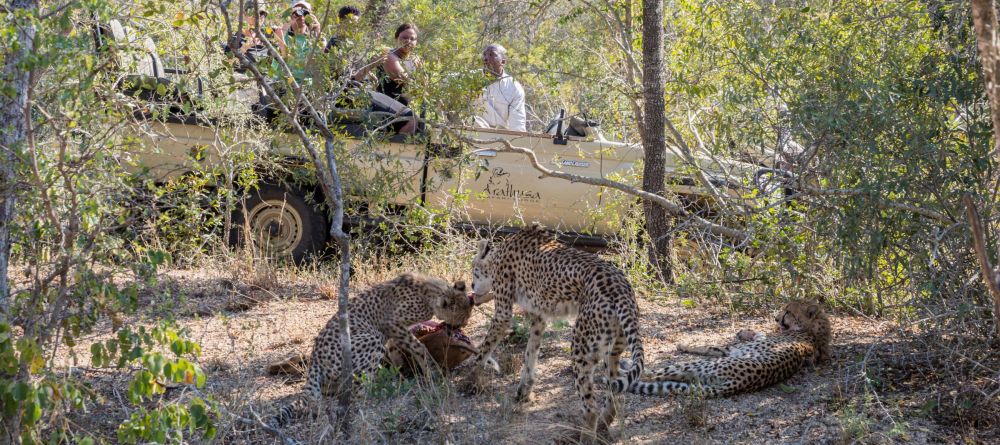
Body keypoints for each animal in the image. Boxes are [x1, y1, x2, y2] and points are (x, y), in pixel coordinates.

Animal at [276, 272, 474, 424]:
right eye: (462, 318)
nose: (461, 327)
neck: (429, 293)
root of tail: (315, 357)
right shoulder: (391, 324)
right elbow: (418, 347)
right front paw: (431, 371)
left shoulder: (396, 331)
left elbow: (400, 349)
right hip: (372, 339)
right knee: (356, 392)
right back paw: (382, 390)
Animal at [466, 224, 644, 438]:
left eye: (474, 271)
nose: (471, 285)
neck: (498, 256)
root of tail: (622, 288)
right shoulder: (539, 317)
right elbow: (530, 353)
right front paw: (523, 391)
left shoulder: (503, 315)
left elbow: (484, 349)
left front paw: (470, 377)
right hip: (612, 350)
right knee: (616, 393)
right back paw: (603, 426)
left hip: (581, 347)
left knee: (590, 407)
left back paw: (585, 436)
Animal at [628, 300, 832, 398]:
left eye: (788, 312)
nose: (776, 318)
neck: (813, 331)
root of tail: (740, 383)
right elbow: (759, 334)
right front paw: (745, 331)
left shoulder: (732, 350)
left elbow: (707, 346)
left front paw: (683, 344)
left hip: (698, 365)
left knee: (652, 374)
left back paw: (626, 367)